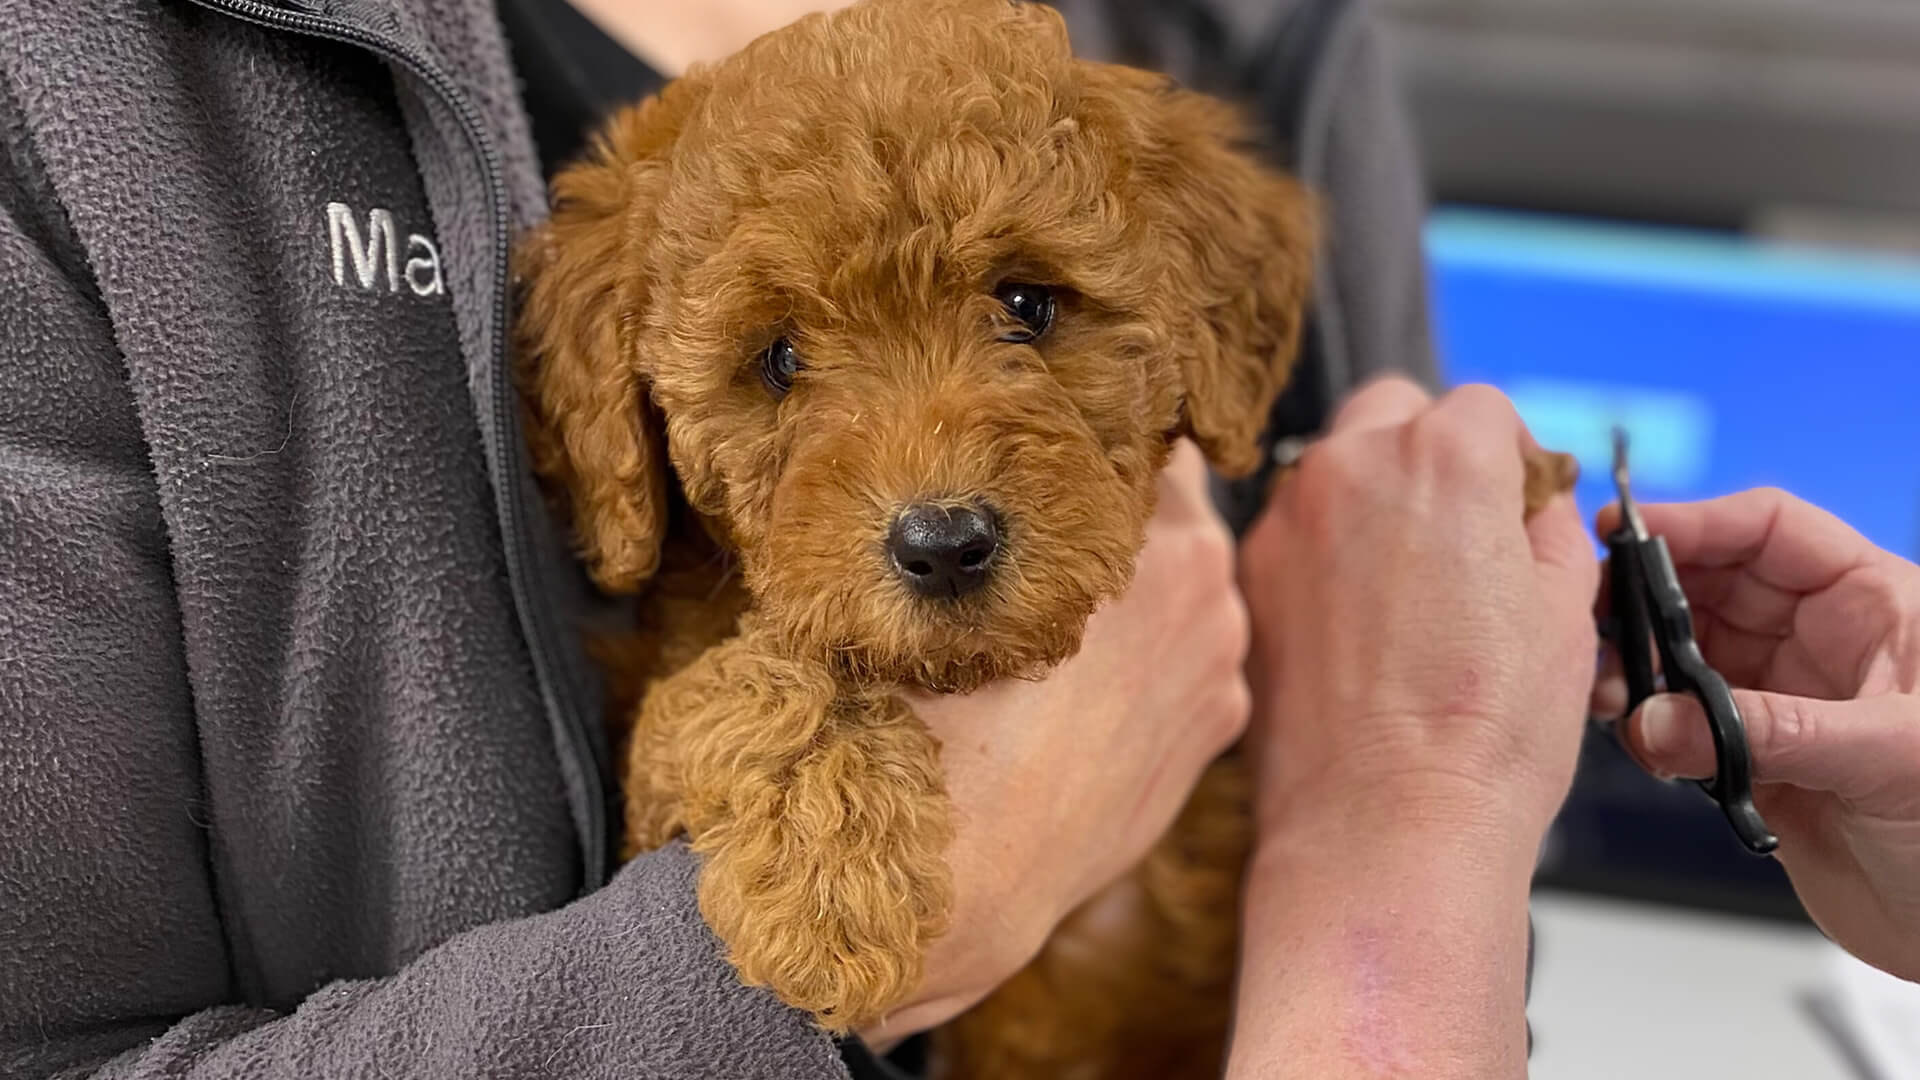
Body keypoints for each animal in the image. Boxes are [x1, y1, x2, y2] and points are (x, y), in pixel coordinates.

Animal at [518, 0, 1566, 1068]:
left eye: (1027, 302)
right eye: (778, 359)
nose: (944, 544)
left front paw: (1508, 473)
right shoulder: (651, 757)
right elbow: (733, 683)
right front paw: (826, 887)